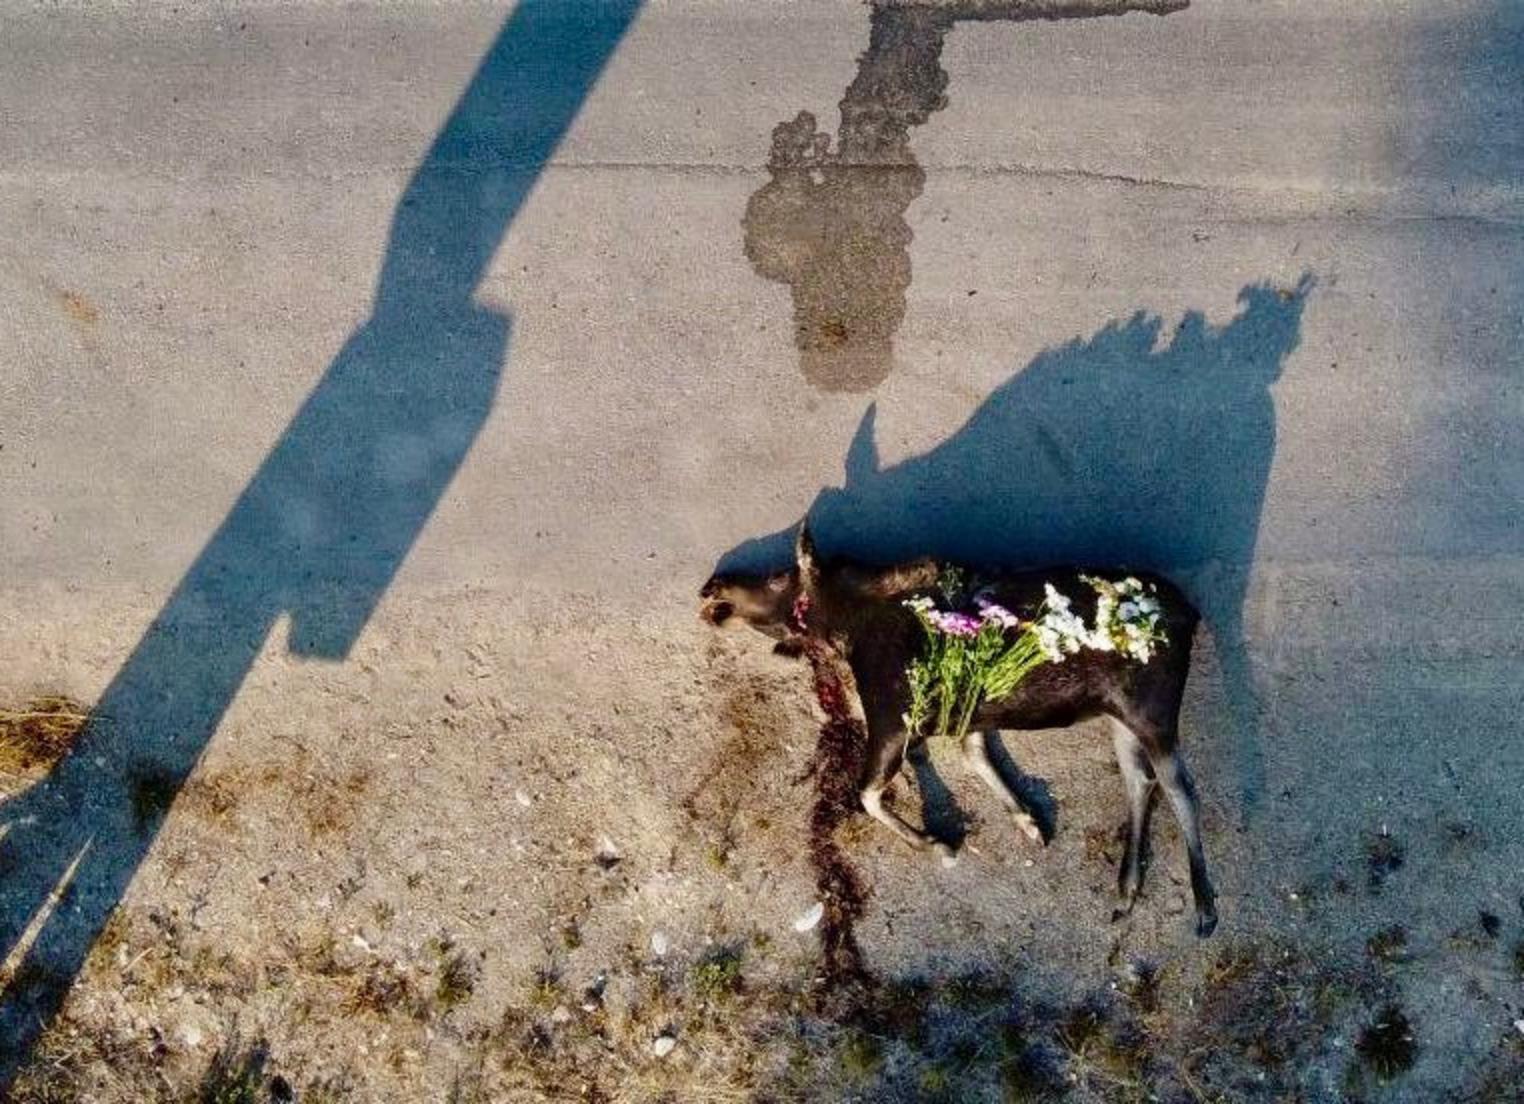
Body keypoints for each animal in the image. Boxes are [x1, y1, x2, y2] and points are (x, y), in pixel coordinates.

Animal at [697, 527, 1213, 939]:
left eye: (780, 577)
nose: (713, 583)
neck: (847, 628)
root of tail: (1191, 612)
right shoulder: (968, 718)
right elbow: (973, 757)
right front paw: (1026, 819)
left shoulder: (893, 719)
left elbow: (866, 794)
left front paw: (937, 843)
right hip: (1118, 717)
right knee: (1141, 782)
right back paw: (1127, 887)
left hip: (1151, 713)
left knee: (1181, 789)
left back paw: (1204, 903)